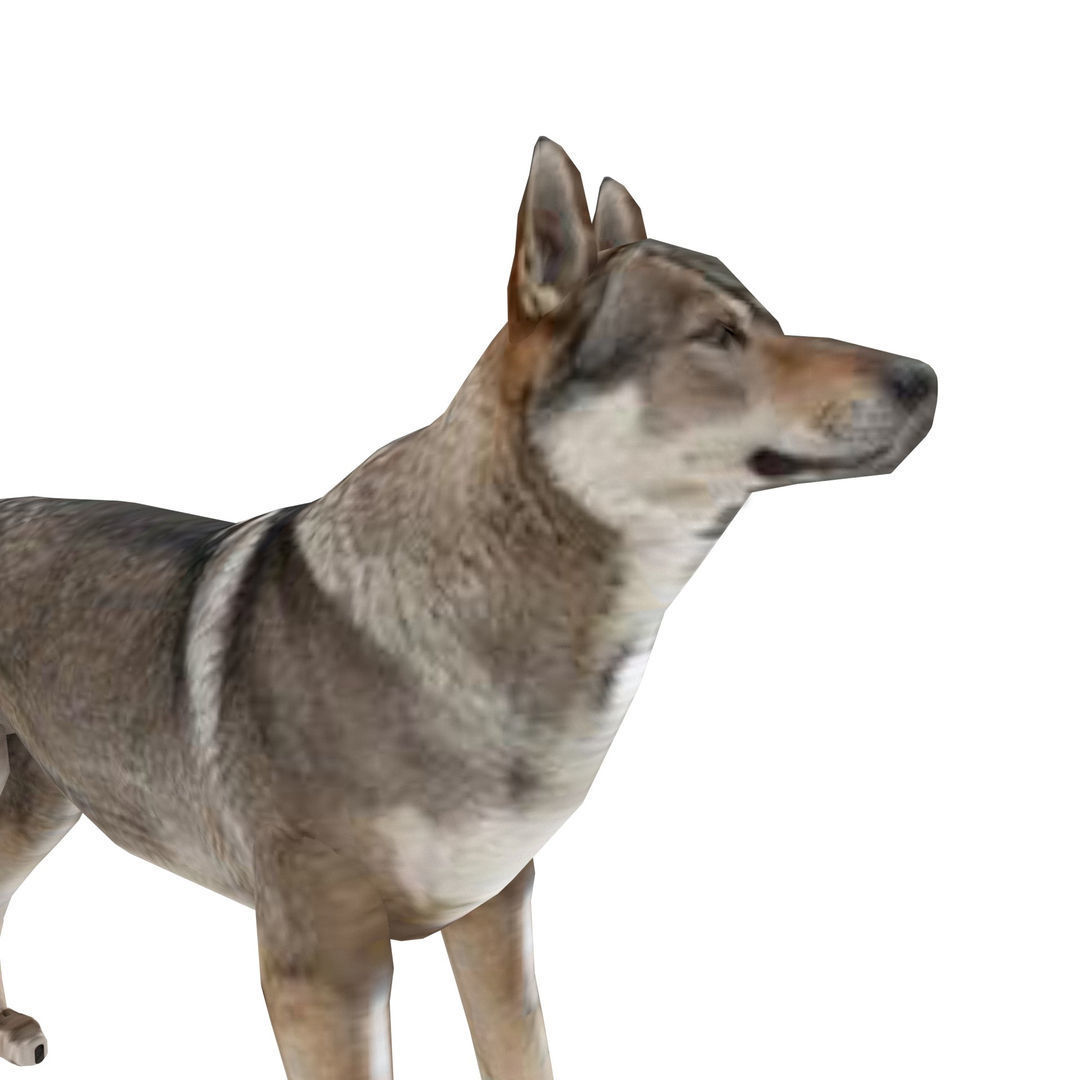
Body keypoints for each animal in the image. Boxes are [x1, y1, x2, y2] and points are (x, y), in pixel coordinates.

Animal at [0, 138, 936, 1077]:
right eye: (717, 336)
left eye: (773, 324)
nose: (925, 378)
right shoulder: (323, 970)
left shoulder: (495, 911)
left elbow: (519, 1050)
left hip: (49, 802)